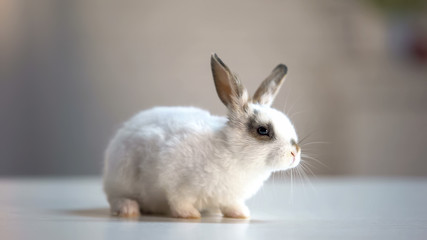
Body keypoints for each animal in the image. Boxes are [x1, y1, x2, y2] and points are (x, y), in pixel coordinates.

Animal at [104, 53, 302, 218]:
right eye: (263, 130)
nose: (295, 153)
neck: (232, 152)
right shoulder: (174, 180)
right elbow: (178, 200)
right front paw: (190, 215)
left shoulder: (230, 197)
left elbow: (231, 205)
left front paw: (241, 214)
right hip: (122, 178)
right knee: (116, 199)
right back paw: (128, 208)